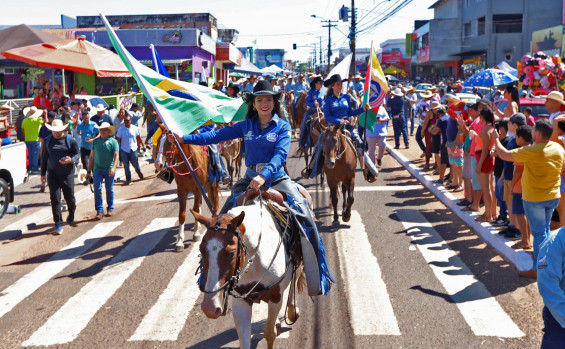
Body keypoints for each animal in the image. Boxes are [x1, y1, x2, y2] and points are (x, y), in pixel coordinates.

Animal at [192, 196, 302, 348]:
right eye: (201, 250)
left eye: (232, 252)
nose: (209, 308)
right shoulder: (241, 301)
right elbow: (244, 340)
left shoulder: (276, 297)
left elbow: (270, 334)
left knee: (295, 277)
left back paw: (291, 311)